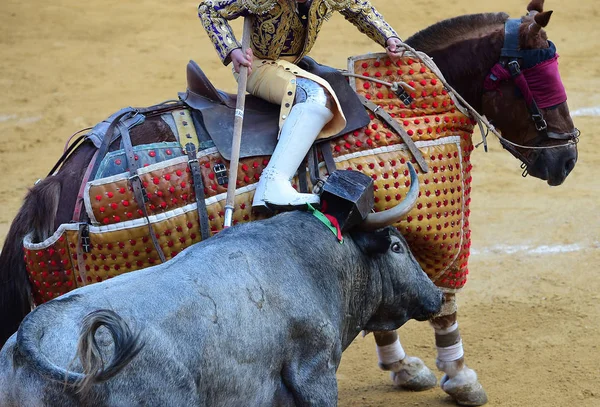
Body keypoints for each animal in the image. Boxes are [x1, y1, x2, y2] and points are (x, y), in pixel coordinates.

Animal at [0, 1, 576, 406]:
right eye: (537, 78)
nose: (566, 159)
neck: (407, 106)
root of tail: (52, 187)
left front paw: (402, 366)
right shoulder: (431, 232)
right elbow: (441, 301)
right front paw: (458, 377)